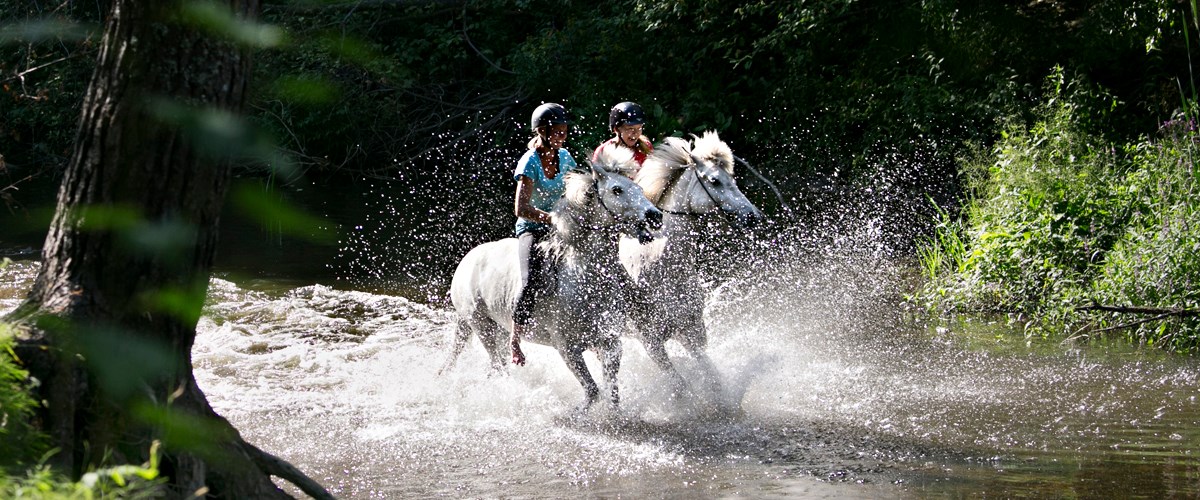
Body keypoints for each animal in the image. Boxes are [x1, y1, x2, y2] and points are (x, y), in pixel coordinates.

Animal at [444, 149, 662, 407]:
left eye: (638, 188)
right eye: (617, 189)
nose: (656, 216)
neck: (584, 277)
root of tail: (466, 261)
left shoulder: (609, 341)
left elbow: (612, 391)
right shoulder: (567, 348)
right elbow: (592, 391)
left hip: (499, 327)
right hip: (480, 325)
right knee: (498, 366)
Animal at [619, 131, 768, 393]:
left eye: (732, 178)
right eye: (715, 181)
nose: (753, 216)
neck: (661, 265)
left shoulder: (692, 330)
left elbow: (712, 376)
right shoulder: (651, 342)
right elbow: (680, 387)